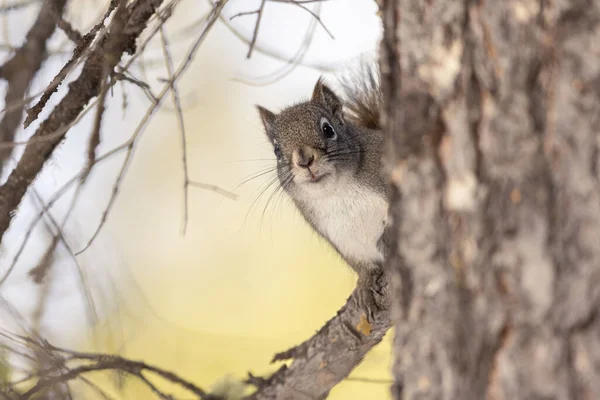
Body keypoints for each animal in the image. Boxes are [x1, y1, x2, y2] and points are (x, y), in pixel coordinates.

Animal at [254, 63, 386, 318]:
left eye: (328, 129)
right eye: (276, 150)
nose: (304, 160)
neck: (337, 191)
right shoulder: (341, 240)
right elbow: (362, 267)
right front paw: (365, 284)